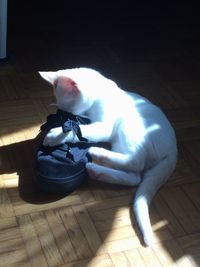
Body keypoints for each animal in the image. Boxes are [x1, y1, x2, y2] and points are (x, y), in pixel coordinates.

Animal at [39, 67, 177, 247]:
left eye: (68, 110)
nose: (66, 116)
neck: (101, 92)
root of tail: (173, 150)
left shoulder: (104, 127)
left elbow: (78, 130)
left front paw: (54, 135)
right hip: (121, 141)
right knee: (134, 178)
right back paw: (97, 170)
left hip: (127, 127)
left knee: (136, 163)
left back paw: (97, 153)